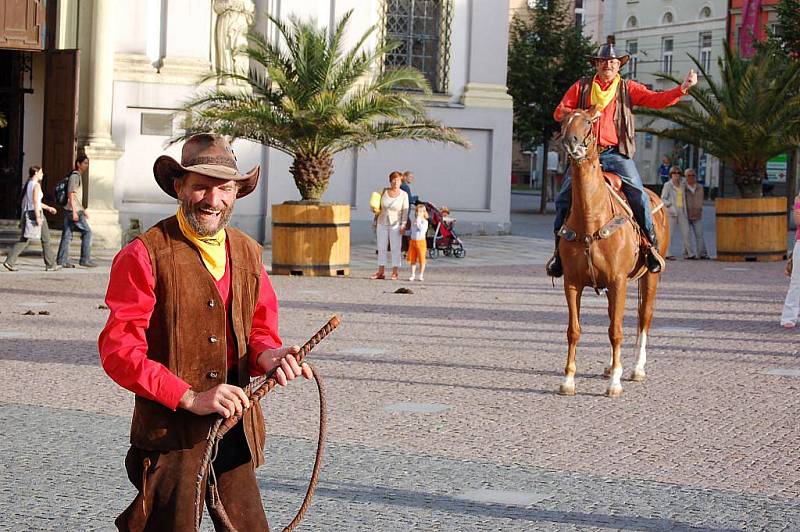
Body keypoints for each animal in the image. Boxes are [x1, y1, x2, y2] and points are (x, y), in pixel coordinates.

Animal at [556, 108, 668, 396]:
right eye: (563, 122)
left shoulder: (618, 281)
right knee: (612, 317)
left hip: (650, 277)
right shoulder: (572, 283)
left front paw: (615, 383)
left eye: (588, 121)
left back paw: (636, 368)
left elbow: (617, 330)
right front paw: (568, 380)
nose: (571, 142)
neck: (591, 217)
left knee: (643, 318)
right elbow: (574, 330)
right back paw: (610, 366)